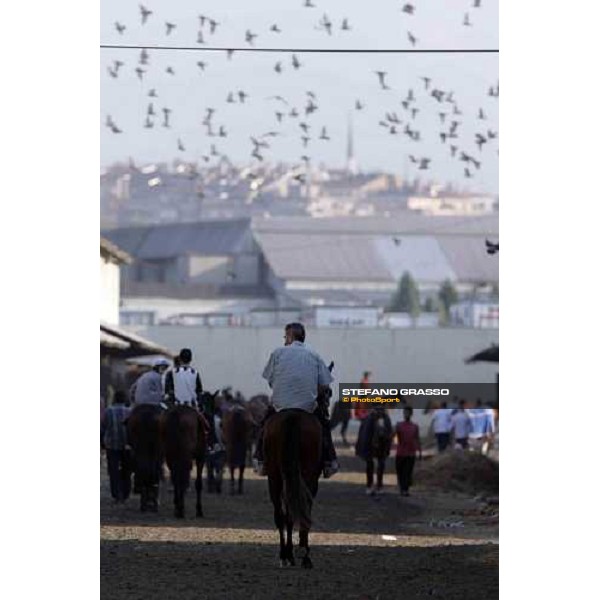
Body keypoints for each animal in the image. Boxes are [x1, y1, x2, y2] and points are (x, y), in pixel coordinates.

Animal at [264, 408, 322, 568]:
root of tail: (292, 416)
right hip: (307, 473)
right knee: (298, 511)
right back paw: (298, 555)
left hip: (274, 475)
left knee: (281, 514)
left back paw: (285, 555)